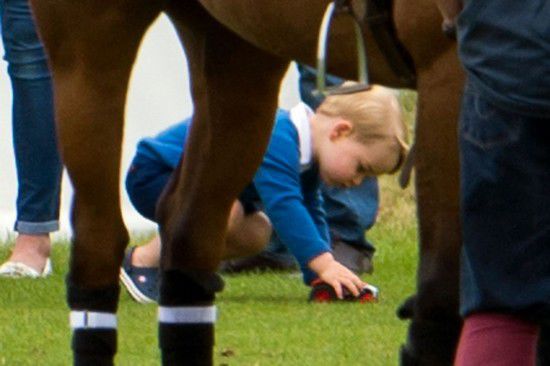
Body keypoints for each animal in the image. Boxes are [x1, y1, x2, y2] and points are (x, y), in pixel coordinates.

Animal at [30, 0, 466, 366]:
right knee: (99, 243)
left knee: (186, 234)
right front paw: (334, 275)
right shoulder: (447, 70)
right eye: (360, 168)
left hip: (235, 52)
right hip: (88, 50)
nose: (353, 178)